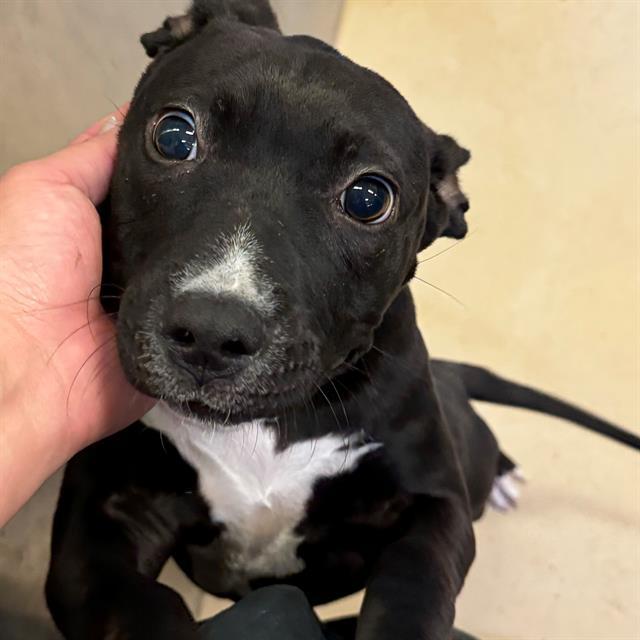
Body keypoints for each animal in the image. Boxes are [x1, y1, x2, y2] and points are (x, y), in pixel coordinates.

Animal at [45, 2, 640, 636]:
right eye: (175, 136)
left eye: (368, 198)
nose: (210, 331)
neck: (262, 431)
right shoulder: (103, 520)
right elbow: (135, 607)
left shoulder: (434, 507)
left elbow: (413, 589)